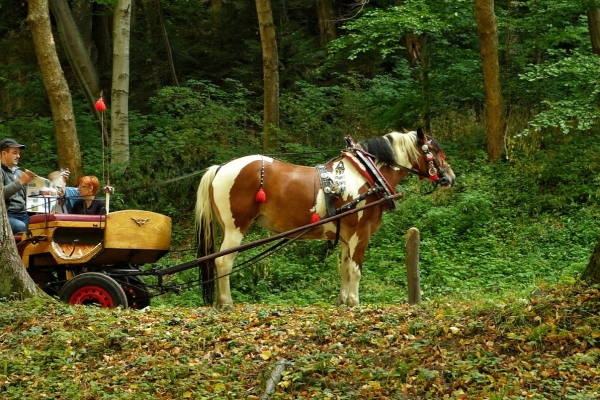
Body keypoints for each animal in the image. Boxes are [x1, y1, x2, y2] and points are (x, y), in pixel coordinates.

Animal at [196, 128, 454, 310]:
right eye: (436, 151)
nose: (450, 177)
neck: (369, 175)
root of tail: (220, 168)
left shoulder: (347, 236)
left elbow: (345, 269)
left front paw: (342, 301)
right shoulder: (361, 233)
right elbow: (356, 269)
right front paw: (354, 302)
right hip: (235, 227)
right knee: (223, 262)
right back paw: (226, 303)